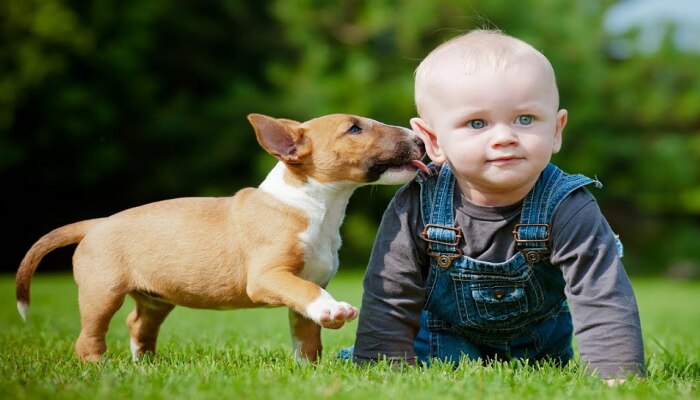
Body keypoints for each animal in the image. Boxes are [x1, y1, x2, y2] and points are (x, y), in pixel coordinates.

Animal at [16, 113, 430, 362]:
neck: (314, 206)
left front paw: (307, 369)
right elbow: (308, 294)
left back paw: (144, 364)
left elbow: (306, 333)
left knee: (138, 324)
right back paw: (100, 368)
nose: (419, 140)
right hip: (101, 291)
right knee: (90, 335)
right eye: (354, 128)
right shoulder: (268, 277)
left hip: (155, 297)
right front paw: (334, 311)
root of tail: (95, 223)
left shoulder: (309, 281)